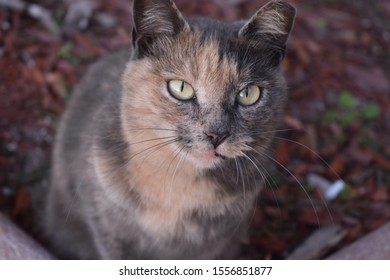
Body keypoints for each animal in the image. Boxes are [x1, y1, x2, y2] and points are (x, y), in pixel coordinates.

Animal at [42, 0, 296, 260]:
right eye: (181, 88)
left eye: (248, 94)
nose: (216, 134)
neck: (178, 184)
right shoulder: (110, 234)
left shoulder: (215, 247)